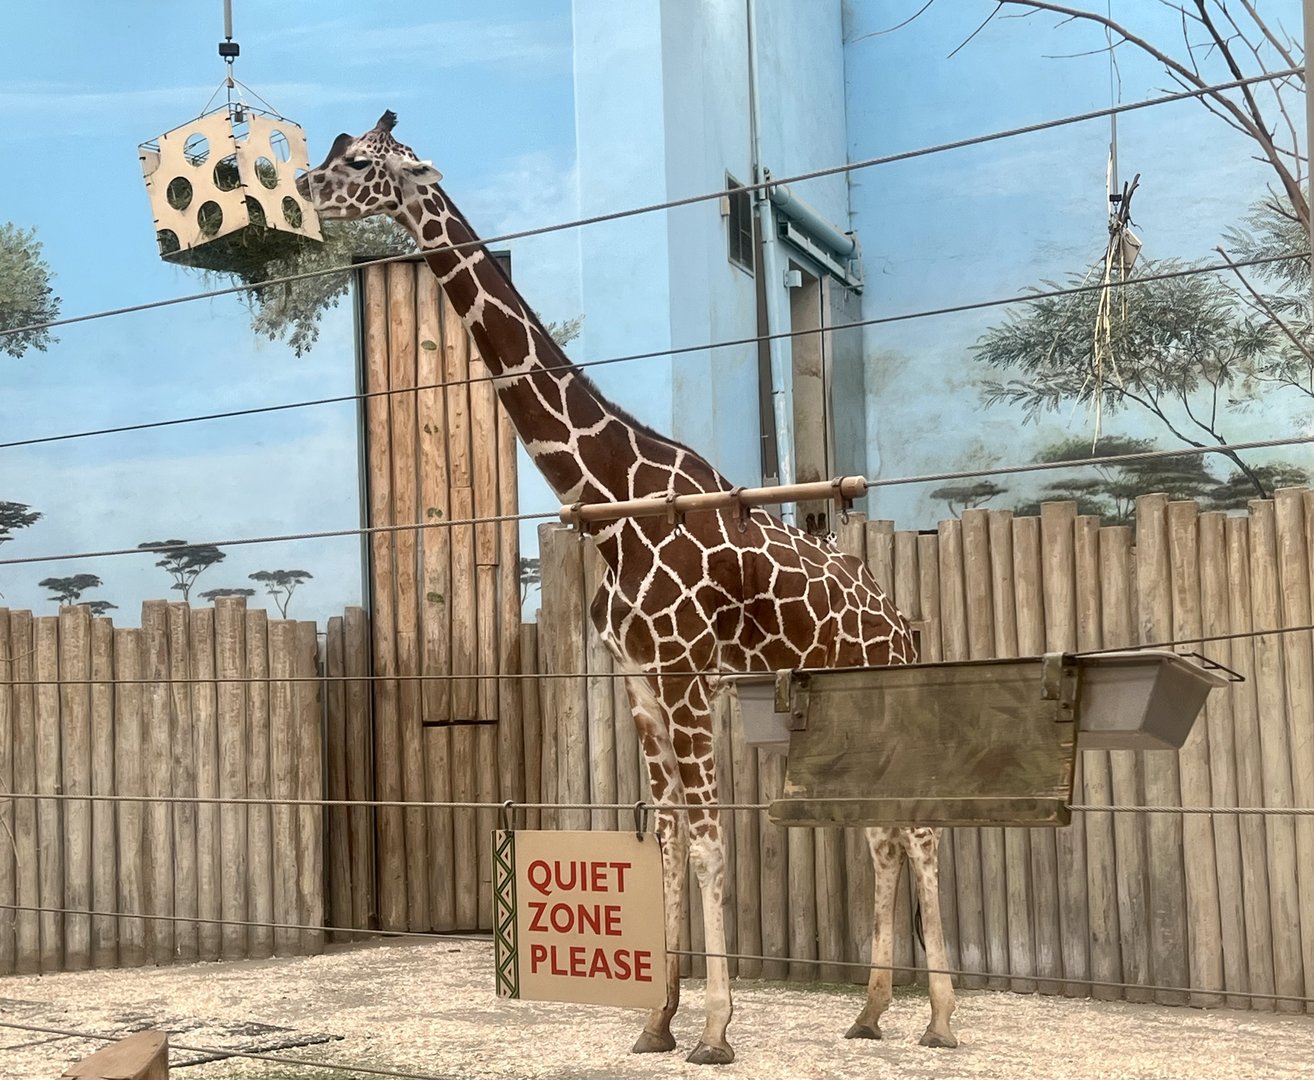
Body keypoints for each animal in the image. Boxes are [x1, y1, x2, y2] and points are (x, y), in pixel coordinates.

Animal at [298, 112, 957, 1063]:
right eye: (333, 150)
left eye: (357, 162)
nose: (303, 190)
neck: (611, 504)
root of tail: (902, 626)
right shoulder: (640, 682)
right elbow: (669, 840)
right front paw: (657, 1021)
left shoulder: (685, 674)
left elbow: (713, 842)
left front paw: (715, 1031)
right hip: (842, 706)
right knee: (879, 831)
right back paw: (870, 1014)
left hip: (885, 695)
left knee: (922, 824)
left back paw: (941, 1021)